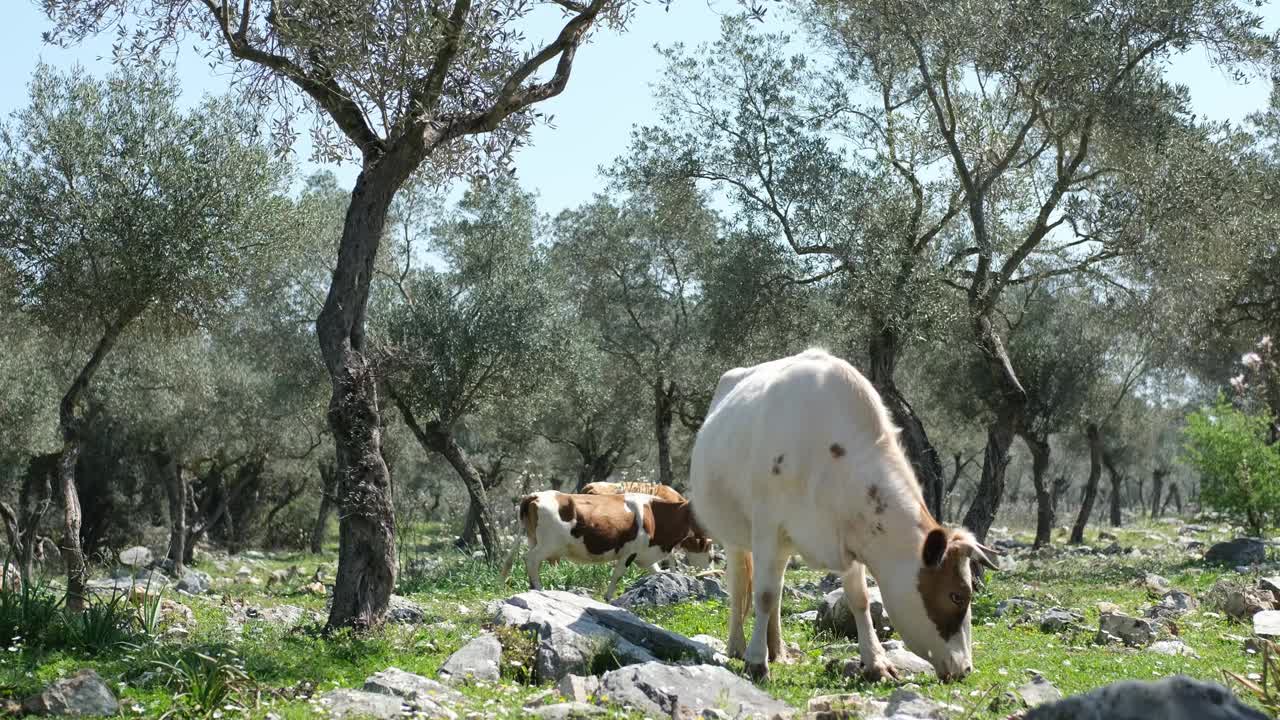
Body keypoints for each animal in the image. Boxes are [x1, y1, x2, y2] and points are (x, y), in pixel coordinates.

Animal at [501, 486, 716, 599]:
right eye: (706, 545)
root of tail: (535, 494)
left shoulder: (645, 555)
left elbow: (657, 573)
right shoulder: (629, 552)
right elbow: (618, 575)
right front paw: (608, 598)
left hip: (534, 539)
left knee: (532, 562)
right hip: (548, 544)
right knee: (530, 559)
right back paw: (539, 589)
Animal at [691, 351, 998, 681]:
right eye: (958, 595)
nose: (966, 668)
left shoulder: (851, 537)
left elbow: (859, 599)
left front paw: (876, 662)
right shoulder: (767, 527)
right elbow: (762, 595)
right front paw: (756, 663)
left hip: (784, 545)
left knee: (777, 588)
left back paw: (778, 650)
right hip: (734, 535)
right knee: (740, 587)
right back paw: (737, 646)